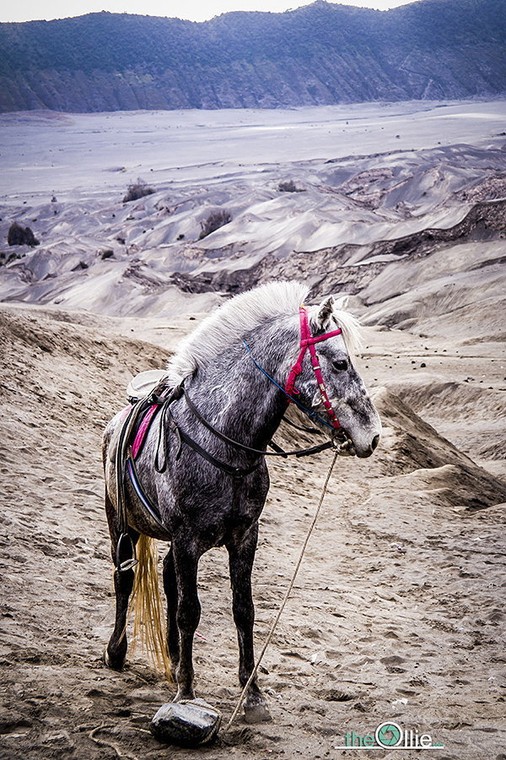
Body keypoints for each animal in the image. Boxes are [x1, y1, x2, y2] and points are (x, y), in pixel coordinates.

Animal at [102, 280, 380, 724]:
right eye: (339, 363)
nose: (373, 435)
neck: (226, 445)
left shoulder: (245, 537)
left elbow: (243, 609)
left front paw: (252, 696)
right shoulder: (187, 540)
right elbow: (189, 611)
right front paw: (186, 693)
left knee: (166, 578)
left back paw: (174, 658)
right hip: (121, 524)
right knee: (125, 580)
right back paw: (117, 652)